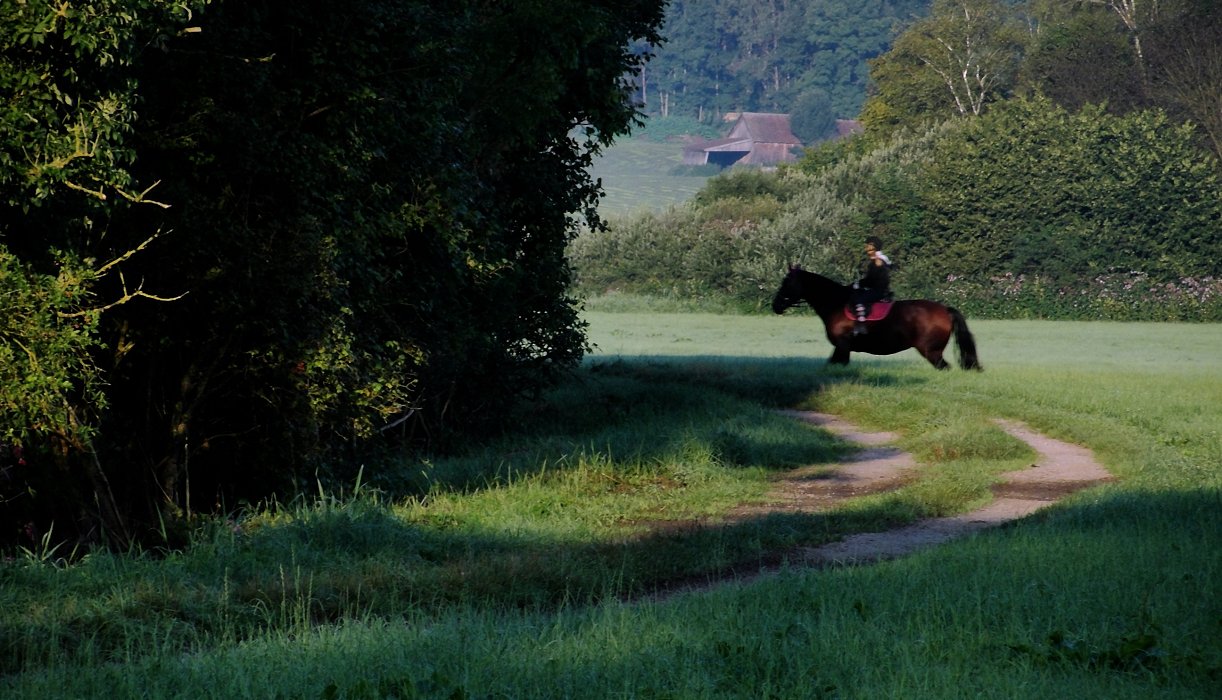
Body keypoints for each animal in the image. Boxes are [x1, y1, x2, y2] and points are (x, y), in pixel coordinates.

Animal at [772, 263, 982, 371]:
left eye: (787, 282)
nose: (776, 306)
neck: (836, 303)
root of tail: (945, 310)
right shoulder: (841, 348)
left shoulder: (842, 345)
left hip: (932, 352)